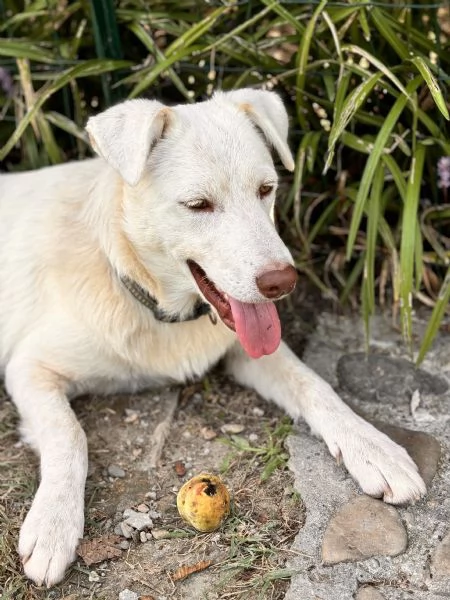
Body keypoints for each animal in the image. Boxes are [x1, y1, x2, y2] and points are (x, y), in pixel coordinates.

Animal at [0, 89, 424, 584]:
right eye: (198, 205)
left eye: (266, 190)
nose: (282, 283)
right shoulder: (29, 367)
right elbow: (71, 435)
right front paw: (53, 524)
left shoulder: (251, 351)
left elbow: (316, 386)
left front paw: (373, 446)